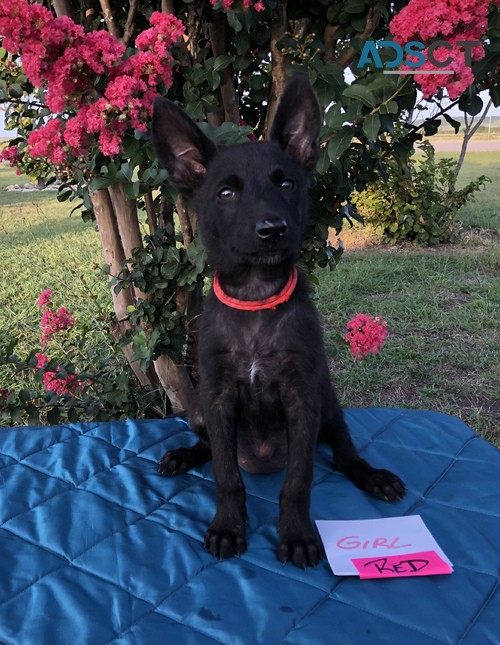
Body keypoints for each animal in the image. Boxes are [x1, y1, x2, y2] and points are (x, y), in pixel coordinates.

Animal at [152, 76, 406, 568]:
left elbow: (299, 481)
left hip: (329, 404)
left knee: (344, 454)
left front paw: (297, 534)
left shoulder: (302, 397)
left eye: (287, 183)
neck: (256, 299)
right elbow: (226, 475)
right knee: (211, 448)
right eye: (226, 193)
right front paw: (228, 526)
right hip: (197, 410)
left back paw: (373, 476)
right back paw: (184, 456)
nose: (272, 230)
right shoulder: (217, 398)